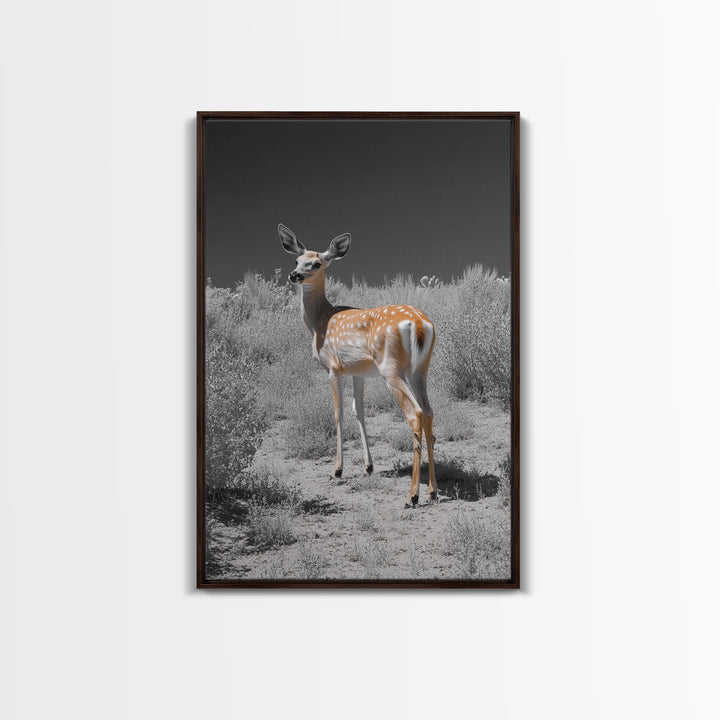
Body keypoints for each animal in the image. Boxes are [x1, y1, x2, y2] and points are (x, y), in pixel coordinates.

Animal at [279, 223, 437, 508]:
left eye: (317, 263)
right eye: (296, 260)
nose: (294, 275)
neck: (319, 320)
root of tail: (419, 324)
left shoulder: (333, 368)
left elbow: (338, 412)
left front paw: (337, 470)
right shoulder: (358, 372)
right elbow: (359, 411)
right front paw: (368, 466)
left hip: (391, 369)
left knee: (415, 413)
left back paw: (412, 496)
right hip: (420, 369)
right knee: (429, 411)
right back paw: (432, 491)